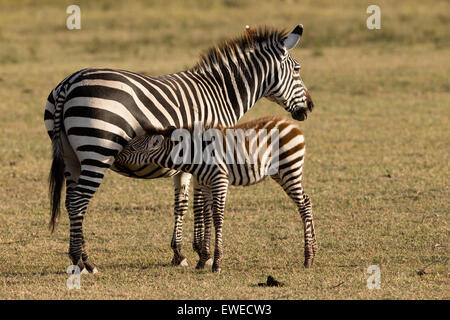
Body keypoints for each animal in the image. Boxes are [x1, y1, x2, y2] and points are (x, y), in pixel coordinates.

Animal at [118, 116, 318, 272]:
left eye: (133, 148)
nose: (116, 157)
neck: (195, 155)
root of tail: (291, 124)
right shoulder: (205, 183)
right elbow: (207, 218)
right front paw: (202, 260)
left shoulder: (220, 180)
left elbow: (217, 218)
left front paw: (217, 262)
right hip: (280, 173)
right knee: (306, 202)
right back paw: (314, 252)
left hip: (289, 168)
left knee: (303, 205)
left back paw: (308, 258)